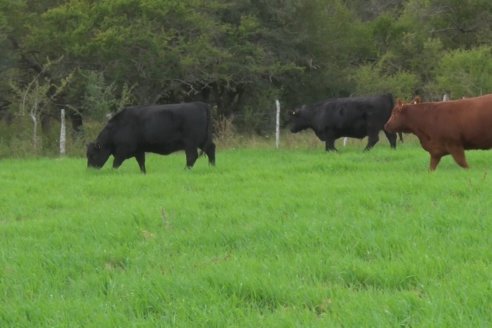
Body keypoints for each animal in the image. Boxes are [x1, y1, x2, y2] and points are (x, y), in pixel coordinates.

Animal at [86, 101, 215, 173]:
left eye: (92, 155)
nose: (89, 170)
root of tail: (199, 104)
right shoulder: (139, 150)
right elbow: (141, 163)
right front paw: (144, 173)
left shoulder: (122, 151)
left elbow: (115, 163)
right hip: (202, 140)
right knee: (211, 149)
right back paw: (212, 167)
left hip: (190, 143)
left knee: (192, 156)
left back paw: (185, 170)